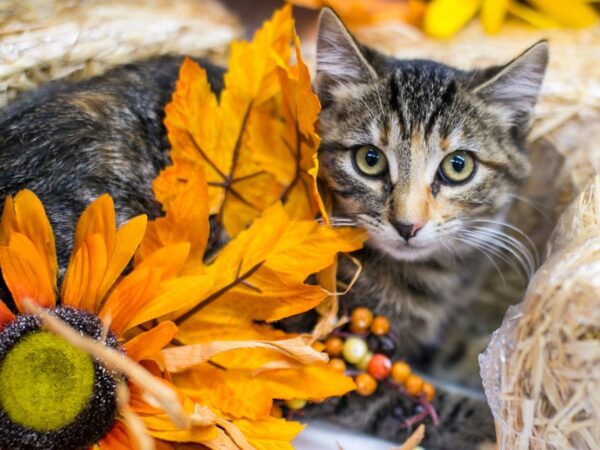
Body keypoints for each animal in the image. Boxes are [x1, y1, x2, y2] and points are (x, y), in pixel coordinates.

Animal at [0, 7, 548, 450]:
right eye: (370, 159)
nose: (407, 225)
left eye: (458, 166)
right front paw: (494, 420)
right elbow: (387, 399)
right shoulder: (295, 353)